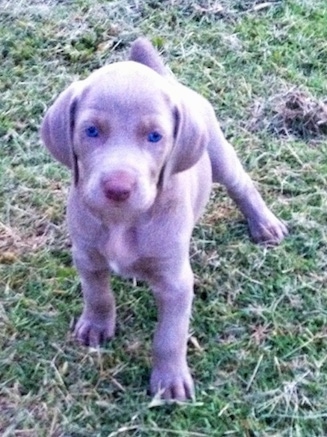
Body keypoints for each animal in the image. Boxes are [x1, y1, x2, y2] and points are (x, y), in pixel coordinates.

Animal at [40, 37, 288, 398]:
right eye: (91, 131)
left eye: (155, 136)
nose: (118, 187)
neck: (123, 220)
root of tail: (172, 81)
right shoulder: (87, 256)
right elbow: (97, 295)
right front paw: (96, 326)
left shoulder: (176, 283)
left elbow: (169, 337)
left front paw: (169, 381)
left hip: (220, 155)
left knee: (242, 186)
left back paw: (265, 225)